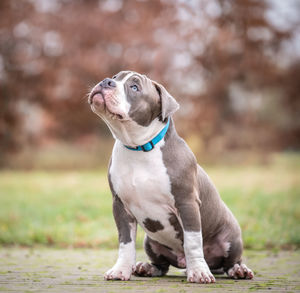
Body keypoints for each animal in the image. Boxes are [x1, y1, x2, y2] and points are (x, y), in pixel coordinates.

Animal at [88, 69, 253, 282]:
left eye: (134, 87)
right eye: (115, 77)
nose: (106, 81)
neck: (139, 148)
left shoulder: (186, 203)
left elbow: (192, 241)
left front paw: (199, 272)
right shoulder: (120, 205)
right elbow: (125, 242)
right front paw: (120, 270)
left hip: (231, 237)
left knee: (229, 262)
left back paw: (238, 270)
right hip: (150, 241)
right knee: (162, 265)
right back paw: (147, 267)